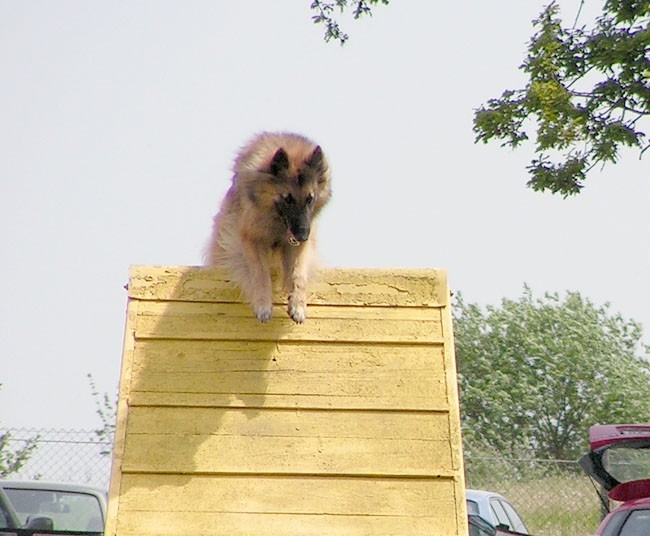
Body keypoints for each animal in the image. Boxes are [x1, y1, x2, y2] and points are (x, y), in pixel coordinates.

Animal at [205, 131, 332, 322]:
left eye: (310, 198)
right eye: (288, 198)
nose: (303, 235)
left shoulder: (298, 247)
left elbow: (298, 276)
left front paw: (298, 305)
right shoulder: (252, 239)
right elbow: (260, 274)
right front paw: (263, 305)